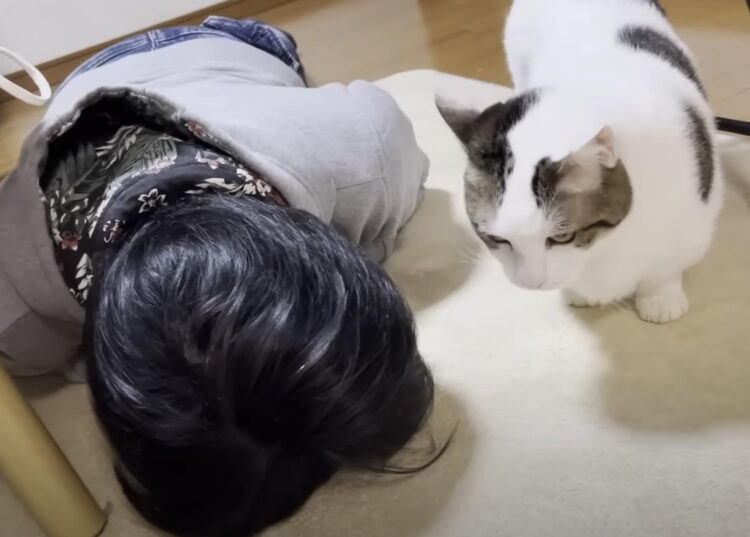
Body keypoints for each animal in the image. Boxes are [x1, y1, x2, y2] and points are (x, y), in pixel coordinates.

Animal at [436, 0, 723, 323]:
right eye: (494, 238)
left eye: (562, 237)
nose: (531, 283)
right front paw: (581, 293)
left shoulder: (691, 226)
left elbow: (665, 268)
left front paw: (660, 298)